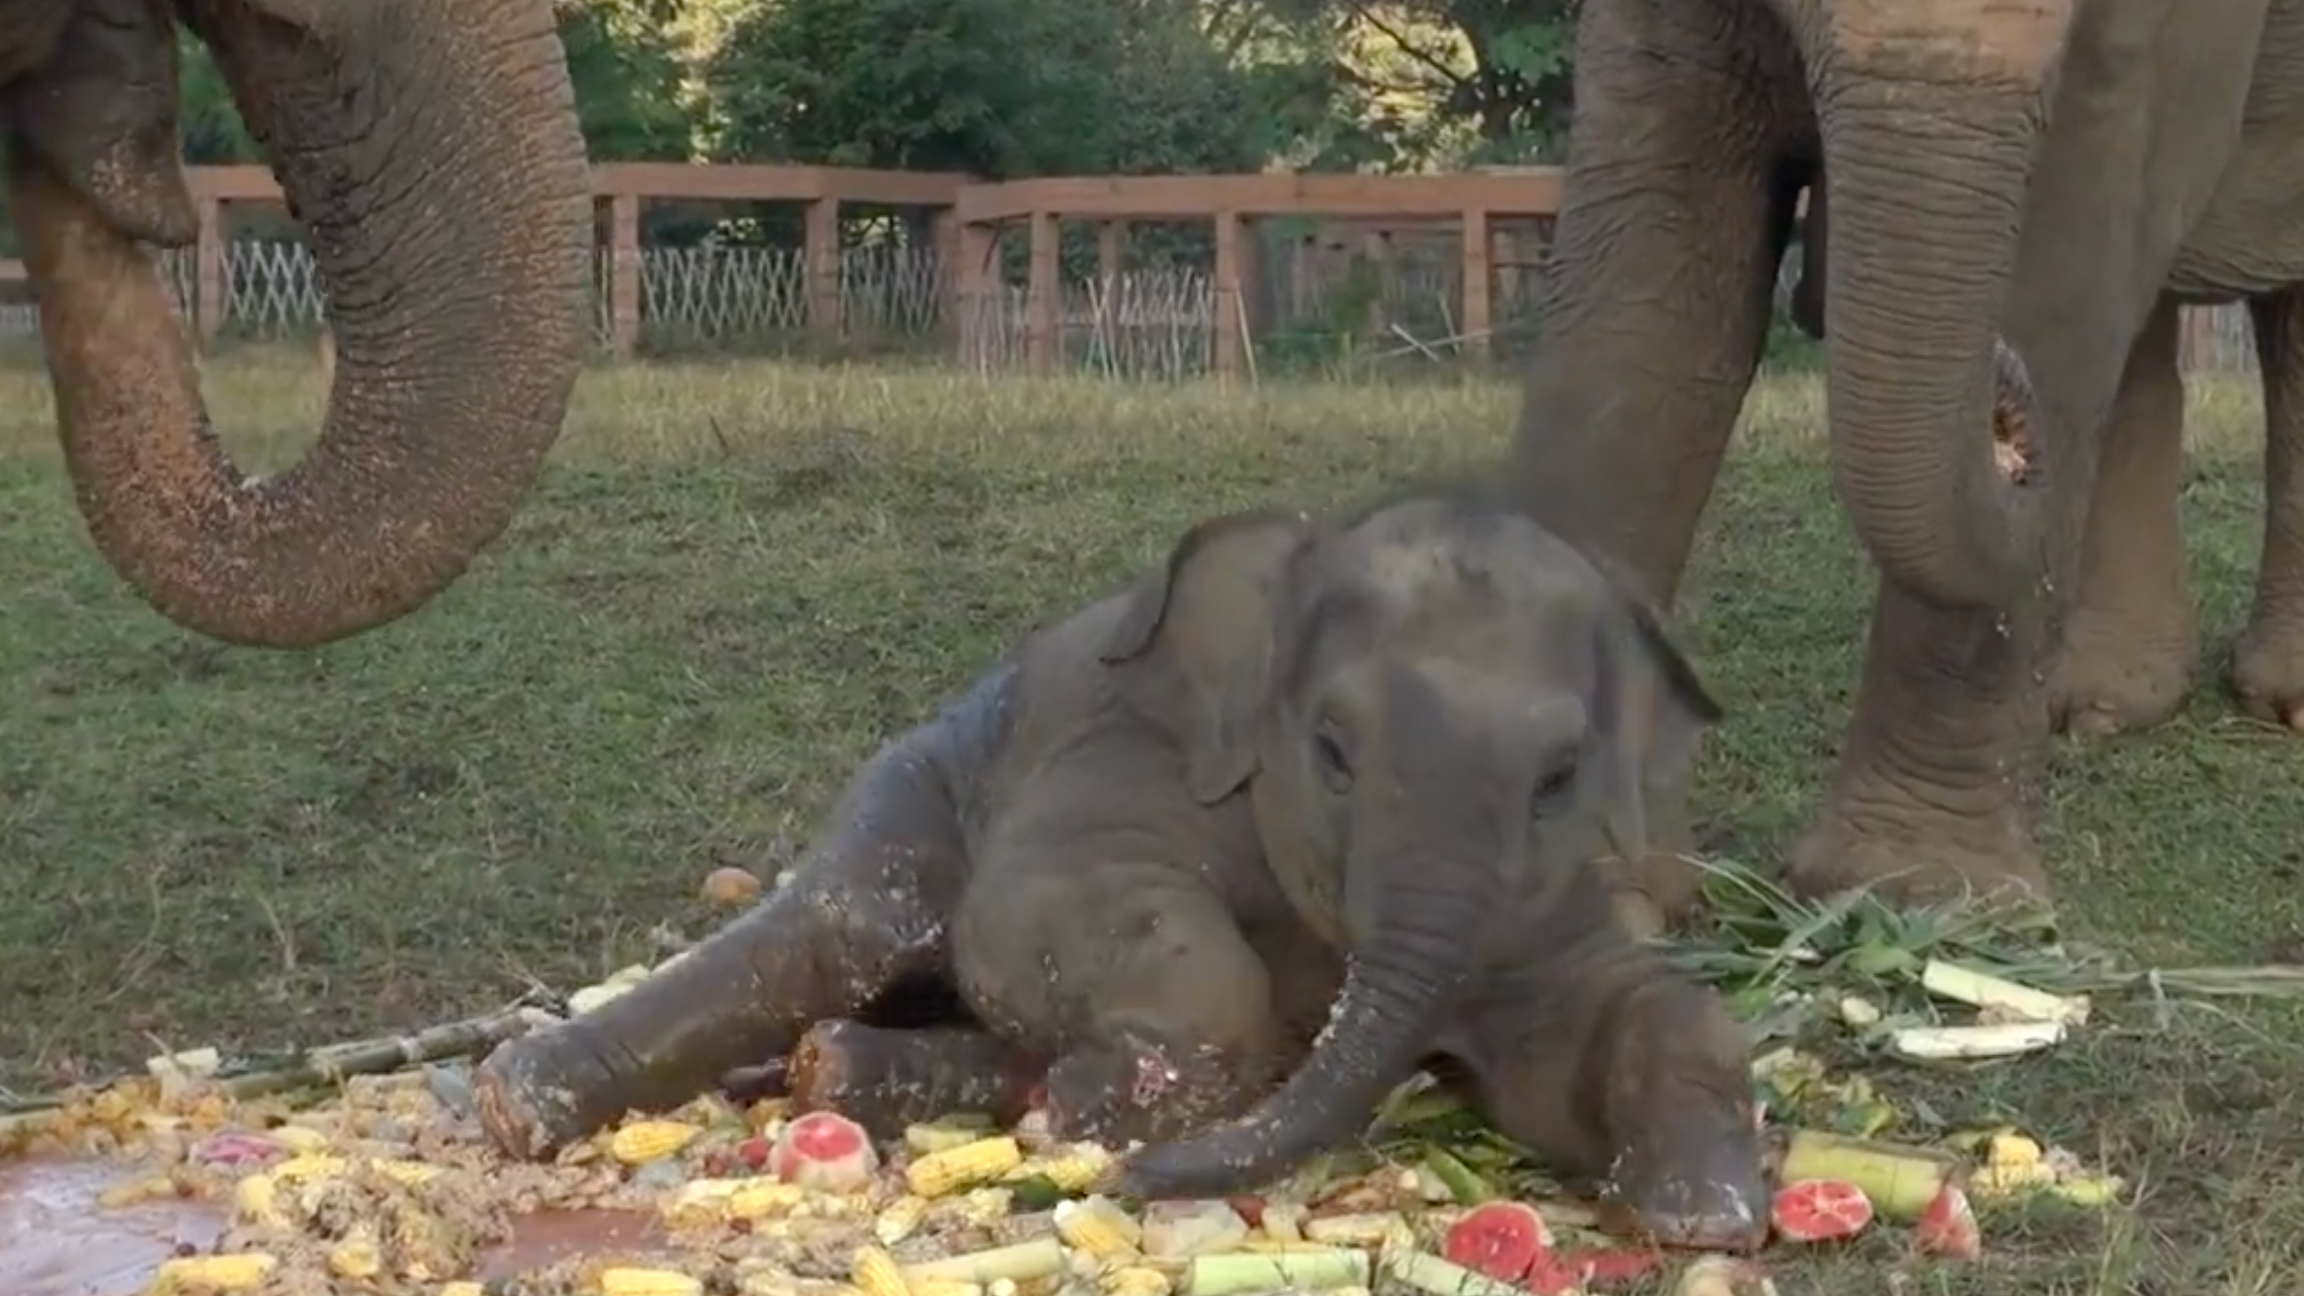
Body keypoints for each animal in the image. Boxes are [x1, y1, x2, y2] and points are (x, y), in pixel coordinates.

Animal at [473, 491, 1771, 1251]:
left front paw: (1702, 1219)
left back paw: (843, 1072)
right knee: (841, 933)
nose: (1147, 1183)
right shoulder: (1125, 749)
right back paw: (522, 1101)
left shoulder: (1552, 889)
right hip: (924, 776)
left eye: (1559, 776)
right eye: (1332, 750)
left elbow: (1620, 1017)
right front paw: (1103, 1110)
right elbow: (1036, 913)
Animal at [1509, 0, 2304, 910]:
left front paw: (1914, 893)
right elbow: (1644, 273)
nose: (2006, 422)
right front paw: (1583, 896)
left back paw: (2282, 703)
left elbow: (2066, 259)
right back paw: (2100, 706)